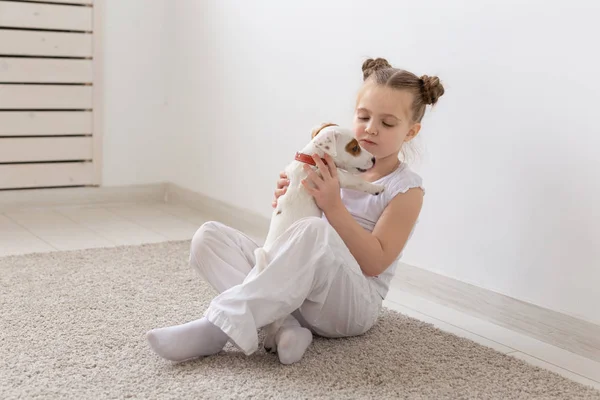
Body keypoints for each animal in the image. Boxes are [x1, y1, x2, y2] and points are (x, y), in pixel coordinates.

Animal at [254, 122, 384, 356]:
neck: (310, 158)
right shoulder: (337, 178)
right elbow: (356, 181)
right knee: (275, 321)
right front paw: (376, 187)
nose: (374, 160)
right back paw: (271, 344)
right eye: (354, 147)